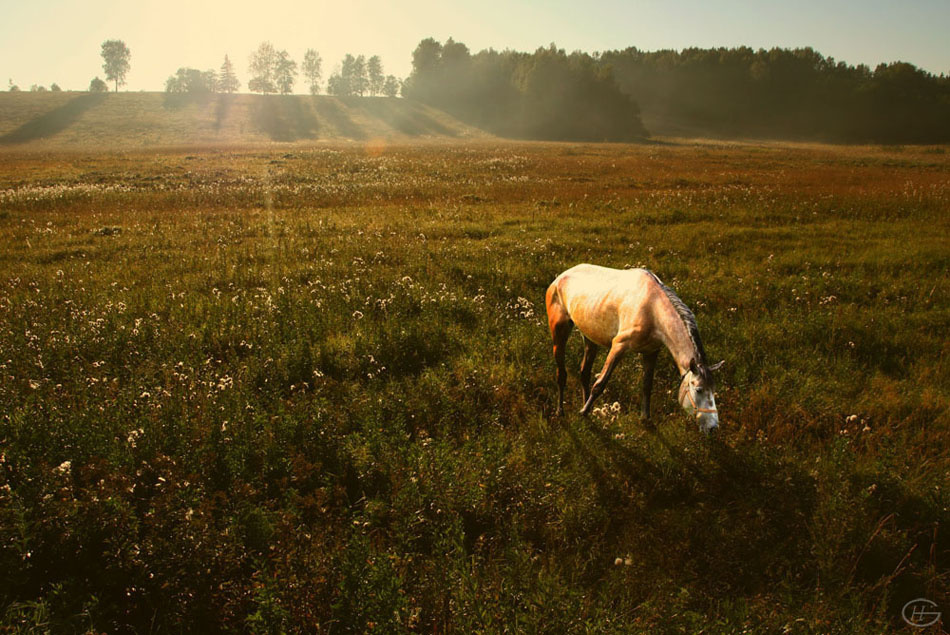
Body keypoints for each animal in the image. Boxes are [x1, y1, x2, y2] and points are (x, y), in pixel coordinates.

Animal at [545, 264, 723, 434]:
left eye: (713, 390)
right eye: (699, 389)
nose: (713, 428)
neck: (652, 309)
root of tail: (559, 278)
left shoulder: (651, 352)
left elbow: (647, 386)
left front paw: (646, 419)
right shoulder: (618, 347)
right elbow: (600, 384)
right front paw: (582, 413)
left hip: (589, 337)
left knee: (584, 372)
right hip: (559, 332)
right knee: (561, 374)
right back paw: (560, 411)